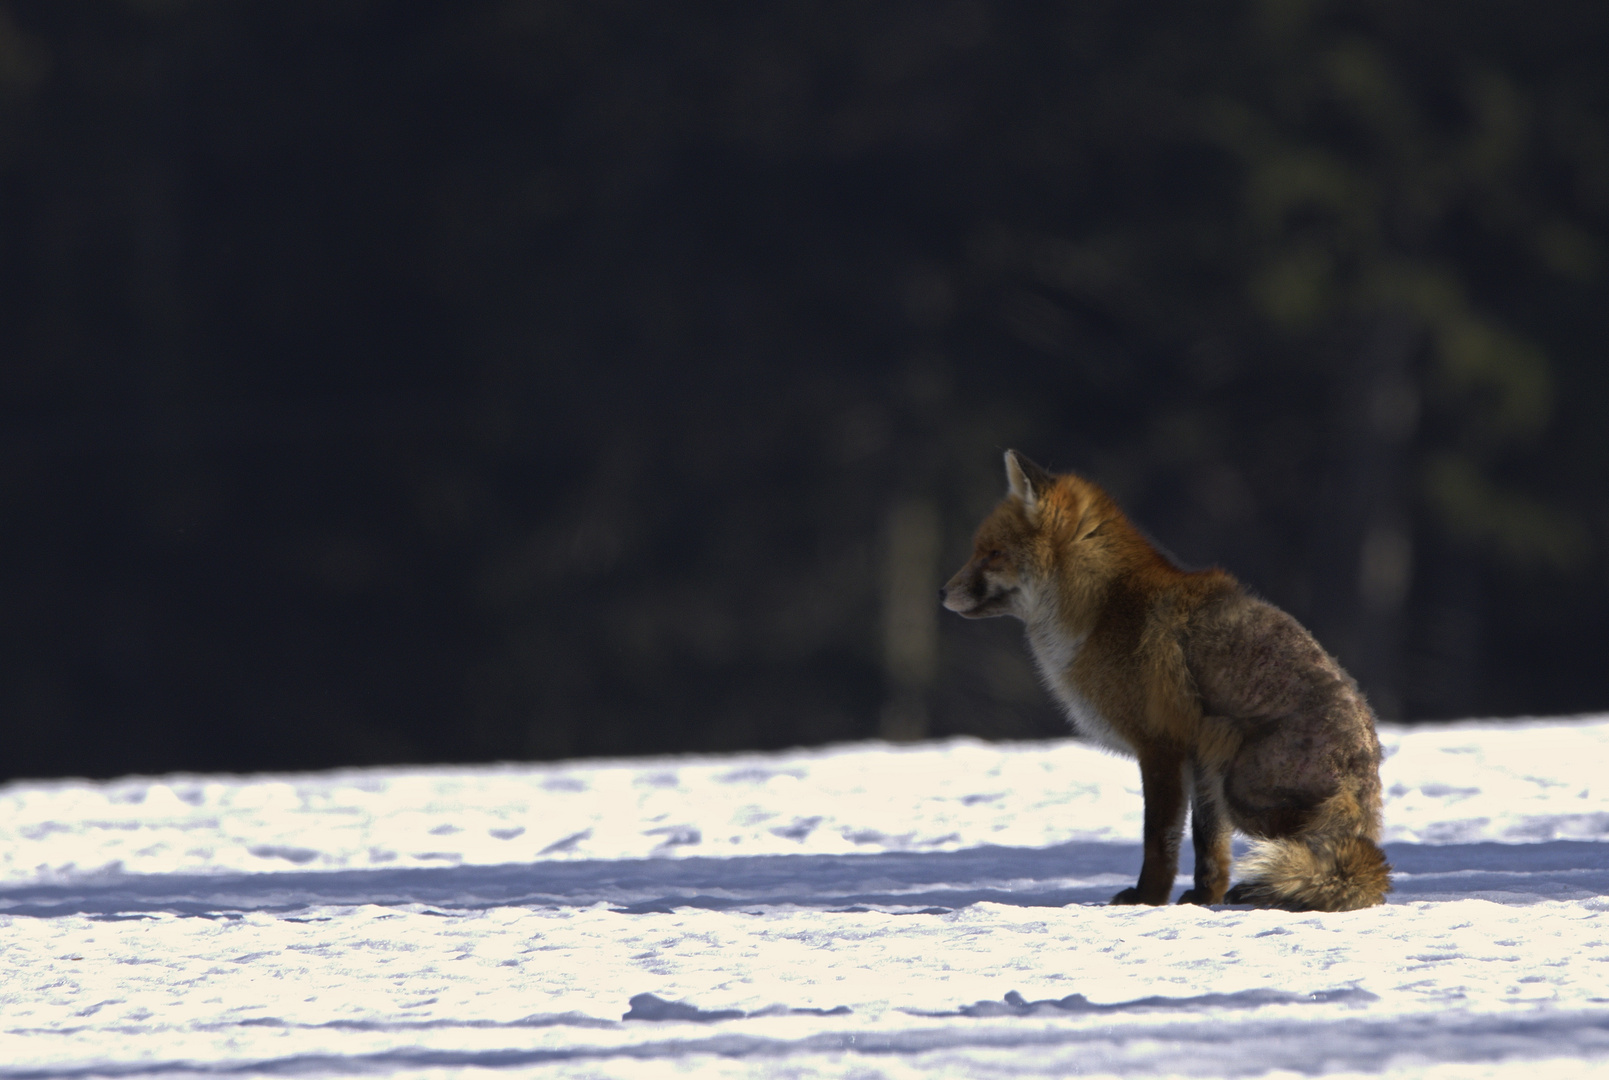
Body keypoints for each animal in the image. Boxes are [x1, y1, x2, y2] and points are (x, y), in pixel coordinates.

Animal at [939, 450, 1390, 914]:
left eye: (993, 553)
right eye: (980, 551)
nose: (941, 592)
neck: (1101, 608)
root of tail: (1367, 778)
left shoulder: (1160, 747)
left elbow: (1158, 839)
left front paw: (1147, 900)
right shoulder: (1200, 756)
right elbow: (1209, 844)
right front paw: (1204, 899)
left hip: (1241, 790)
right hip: (1226, 774)